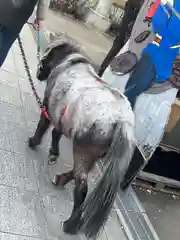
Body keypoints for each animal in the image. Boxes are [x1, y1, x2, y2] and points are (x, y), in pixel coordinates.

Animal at [27, 35, 135, 238]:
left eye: (46, 53)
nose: (38, 74)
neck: (69, 61)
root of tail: (122, 120)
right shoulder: (63, 116)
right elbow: (56, 132)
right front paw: (54, 152)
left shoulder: (48, 105)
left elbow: (43, 126)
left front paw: (34, 141)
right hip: (95, 153)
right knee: (79, 173)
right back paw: (61, 179)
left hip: (84, 149)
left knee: (82, 186)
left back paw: (70, 224)